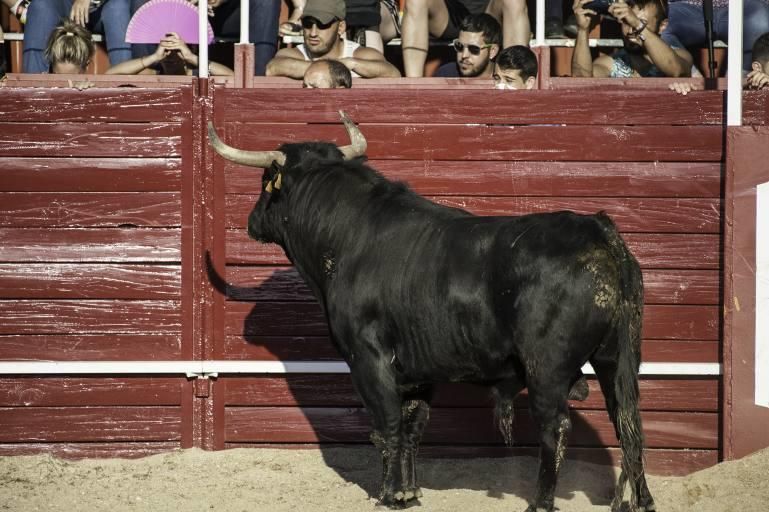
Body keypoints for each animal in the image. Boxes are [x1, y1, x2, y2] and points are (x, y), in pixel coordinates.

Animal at [208, 114, 656, 512]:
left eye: (266, 182)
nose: (251, 222)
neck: (347, 236)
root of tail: (600, 231)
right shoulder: (417, 369)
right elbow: (412, 428)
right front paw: (410, 492)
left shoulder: (367, 358)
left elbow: (387, 426)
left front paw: (390, 495)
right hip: (616, 359)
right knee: (628, 423)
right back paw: (643, 502)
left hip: (546, 368)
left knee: (555, 428)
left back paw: (541, 503)